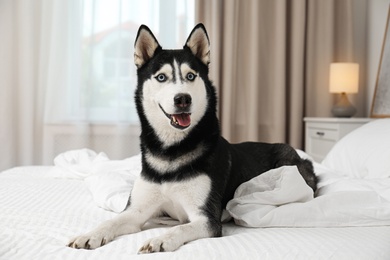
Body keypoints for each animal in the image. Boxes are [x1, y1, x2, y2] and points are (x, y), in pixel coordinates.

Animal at [68, 23, 316, 252]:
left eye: (190, 76)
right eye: (161, 77)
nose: (182, 99)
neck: (171, 152)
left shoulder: (206, 217)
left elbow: (181, 227)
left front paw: (160, 239)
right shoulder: (136, 211)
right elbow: (111, 221)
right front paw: (89, 235)